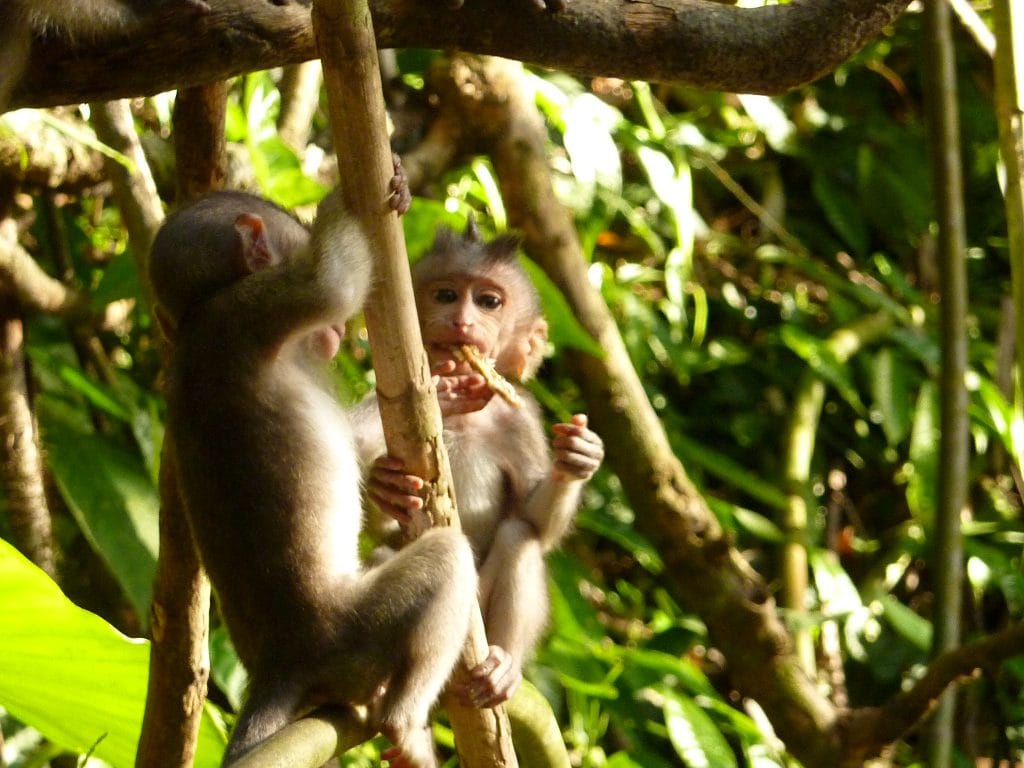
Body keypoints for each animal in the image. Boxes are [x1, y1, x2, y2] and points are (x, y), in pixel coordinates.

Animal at [149, 169, 477, 768]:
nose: (341, 334)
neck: (198, 312)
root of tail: (280, 664)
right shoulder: (256, 307)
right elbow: (331, 286)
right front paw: (352, 192)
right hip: (354, 636)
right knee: (447, 558)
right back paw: (404, 723)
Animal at [354, 217, 602, 708]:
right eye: (446, 294)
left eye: (489, 302)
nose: (462, 320)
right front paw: (384, 485)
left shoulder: (521, 420)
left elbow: (534, 519)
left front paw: (577, 458)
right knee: (387, 555)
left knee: (518, 538)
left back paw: (503, 665)